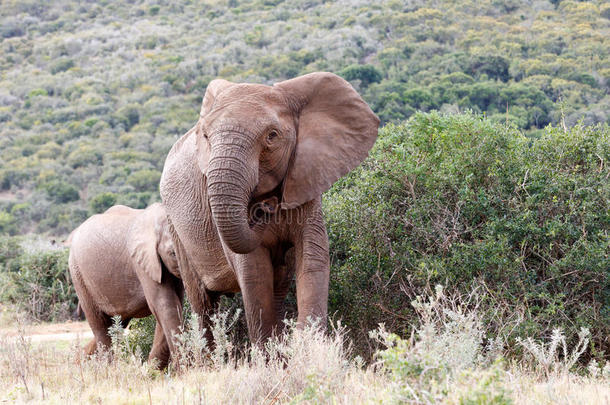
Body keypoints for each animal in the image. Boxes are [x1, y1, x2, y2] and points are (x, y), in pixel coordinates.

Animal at [67, 202, 182, 366]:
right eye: (172, 253)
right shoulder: (141, 262)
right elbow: (164, 304)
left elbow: (174, 303)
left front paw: (152, 368)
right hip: (79, 276)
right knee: (100, 325)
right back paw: (106, 367)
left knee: (116, 326)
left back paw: (79, 361)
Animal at [160, 71, 380, 342]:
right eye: (206, 137)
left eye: (272, 135)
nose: (265, 208)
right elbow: (253, 272)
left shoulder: (306, 178)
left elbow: (313, 256)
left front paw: (306, 341)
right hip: (176, 229)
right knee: (203, 304)